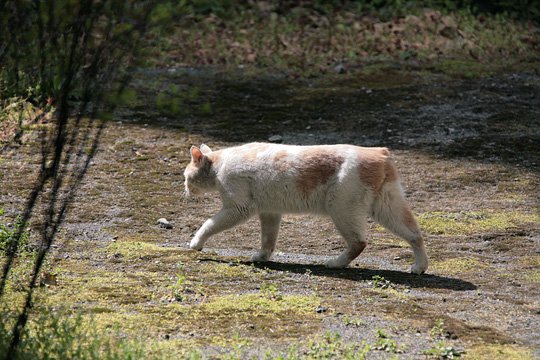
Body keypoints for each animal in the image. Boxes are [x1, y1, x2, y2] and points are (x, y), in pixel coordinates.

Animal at [184, 142, 428, 274]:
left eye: (185, 177)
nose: (184, 189)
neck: (218, 165)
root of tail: (380, 152)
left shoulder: (238, 209)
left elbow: (208, 224)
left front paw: (196, 243)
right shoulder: (270, 212)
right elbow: (268, 240)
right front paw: (262, 256)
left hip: (341, 209)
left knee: (359, 242)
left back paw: (335, 263)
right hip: (388, 208)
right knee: (416, 235)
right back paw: (420, 266)